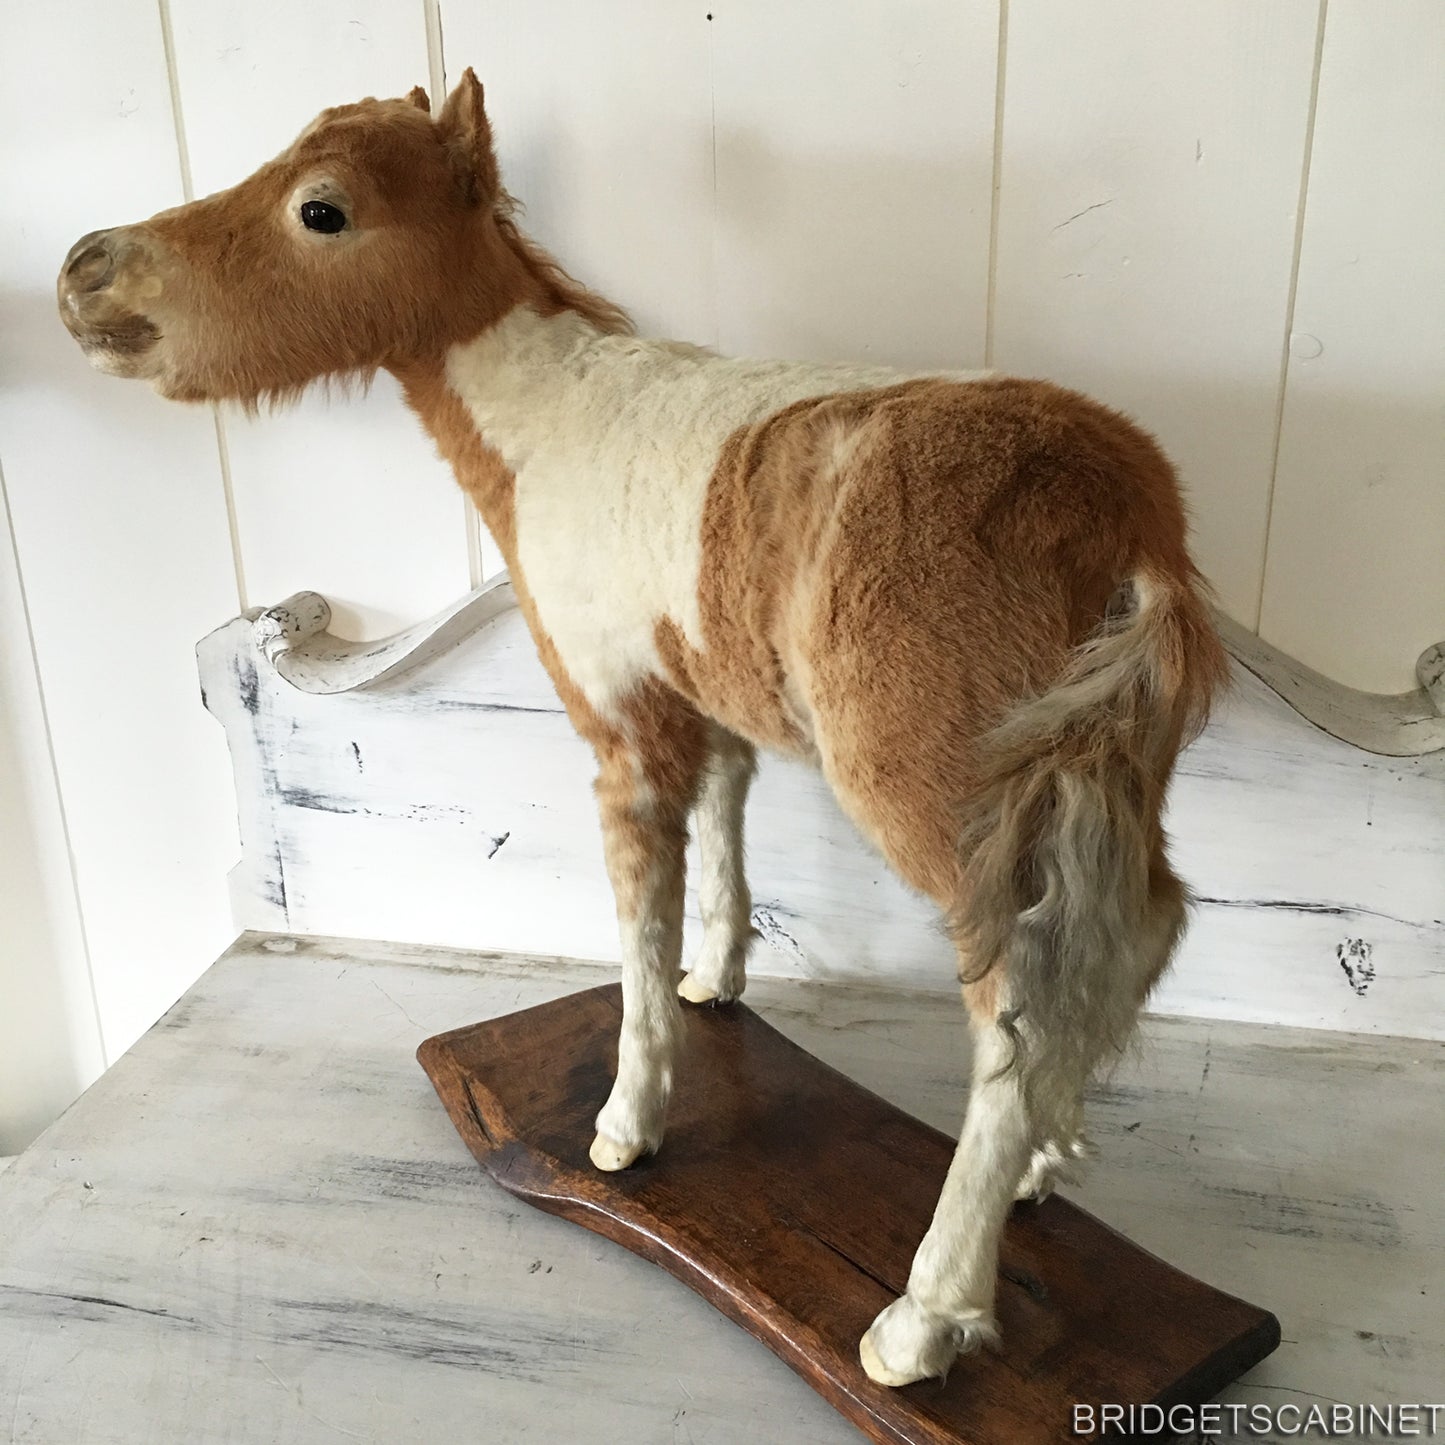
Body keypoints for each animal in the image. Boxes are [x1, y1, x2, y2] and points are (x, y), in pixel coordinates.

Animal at [59, 71, 1227, 1387]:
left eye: (320, 208)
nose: (85, 271)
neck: (553, 425)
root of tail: (1124, 517)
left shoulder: (619, 731)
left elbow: (631, 924)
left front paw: (625, 1124)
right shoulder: (697, 703)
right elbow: (719, 836)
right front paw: (715, 983)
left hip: (951, 800)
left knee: (1014, 997)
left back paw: (919, 1321)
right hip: (1104, 778)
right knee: (1130, 935)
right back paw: (1039, 1168)